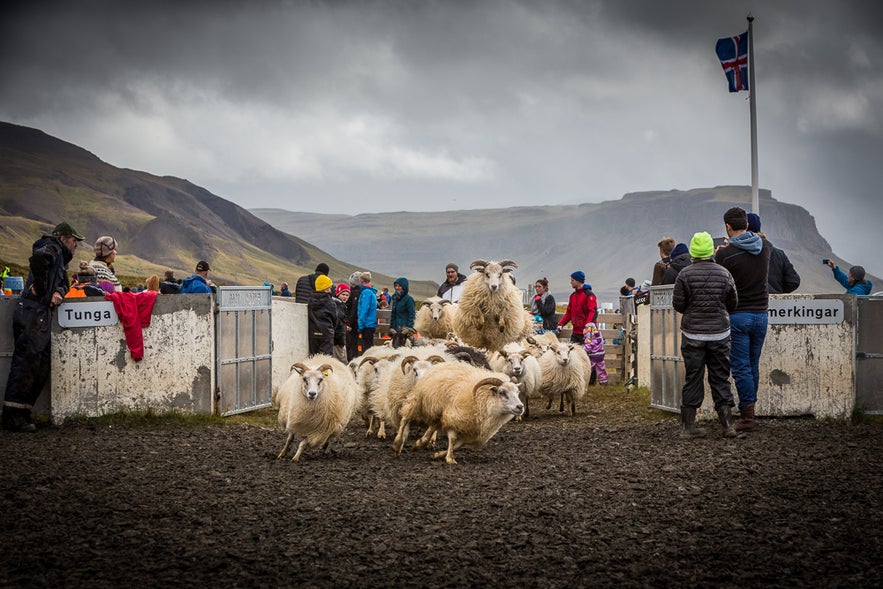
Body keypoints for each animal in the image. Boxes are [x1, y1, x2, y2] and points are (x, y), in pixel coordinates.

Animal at [394, 362, 524, 464]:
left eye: (518, 392)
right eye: (502, 392)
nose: (520, 407)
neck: (482, 400)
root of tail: (440, 365)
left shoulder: (470, 432)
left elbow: (458, 445)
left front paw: (438, 454)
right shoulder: (454, 418)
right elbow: (452, 439)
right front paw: (450, 458)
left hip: (439, 413)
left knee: (432, 426)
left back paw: (419, 443)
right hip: (417, 400)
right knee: (405, 418)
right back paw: (397, 444)